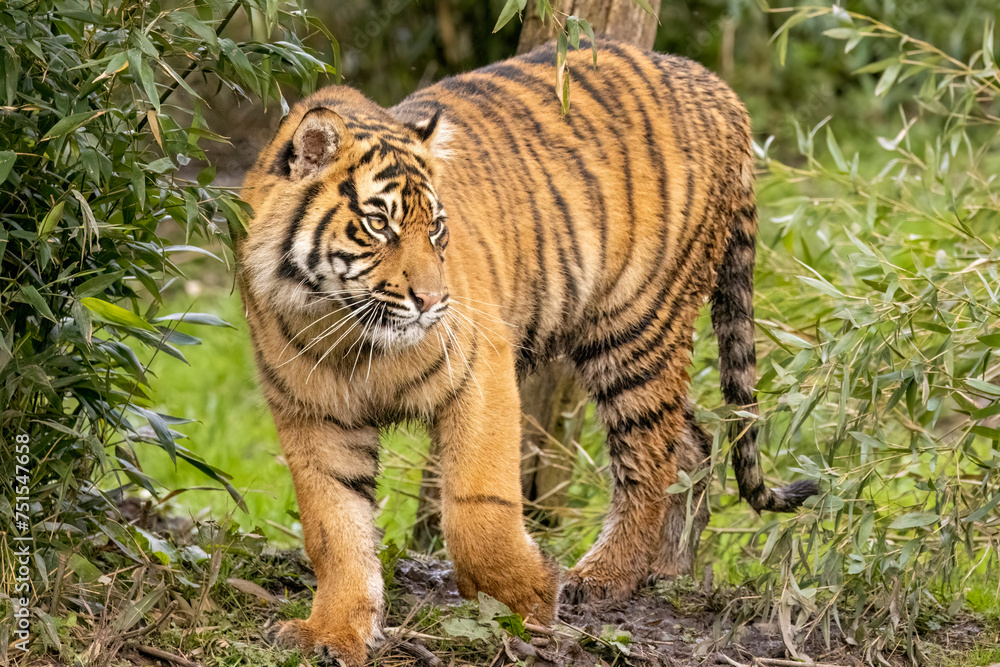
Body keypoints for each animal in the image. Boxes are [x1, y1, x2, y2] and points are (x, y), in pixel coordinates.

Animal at [237, 37, 818, 665]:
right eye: (379, 225)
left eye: (436, 228)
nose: (432, 301)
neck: (348, 334)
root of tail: (716, 87)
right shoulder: (313, 415)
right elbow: (335, 530)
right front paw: (333, 632)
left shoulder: (480, 372)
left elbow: (477, 506)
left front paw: (529, 603)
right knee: (692, 441)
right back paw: (665, 569)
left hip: (637, 325)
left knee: (650, 455)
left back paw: (602, 577)